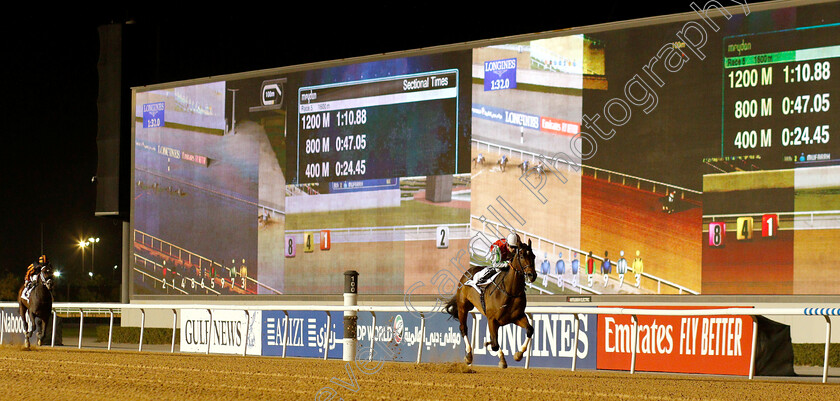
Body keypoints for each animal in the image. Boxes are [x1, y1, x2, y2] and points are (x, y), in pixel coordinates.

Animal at [446, 239, 540, 368]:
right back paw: (469, 355)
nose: (532, 275)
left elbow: (530, 330)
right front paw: (490, 348)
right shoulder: (492, 319)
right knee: (463, 328)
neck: (510, 291)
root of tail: (468, 271)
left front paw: (518, 354)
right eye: (521, 256)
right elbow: (494, 344)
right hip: (463, 307)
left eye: (533, 256)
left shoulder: (517, 317)